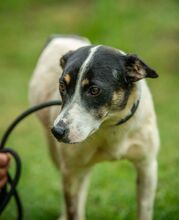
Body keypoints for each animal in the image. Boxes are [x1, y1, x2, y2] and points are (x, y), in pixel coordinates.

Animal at [29, 35, 159, 220]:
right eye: (62, 86)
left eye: (94, 90)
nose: (57, 131)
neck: (110, 125)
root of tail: (60, 36)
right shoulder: (71, 170)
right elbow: (73, 210)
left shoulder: (147, 167)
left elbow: (144, 211)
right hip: (61, 159)